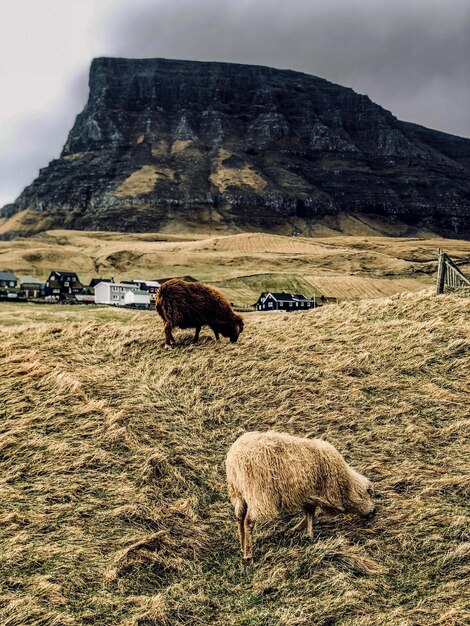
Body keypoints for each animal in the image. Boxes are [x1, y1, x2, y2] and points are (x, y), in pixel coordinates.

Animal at [226, 432, 376, 560]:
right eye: (369, 494)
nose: (374, 512)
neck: (346, 485)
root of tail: (236, 458)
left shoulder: (308, 495)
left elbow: (309, 513)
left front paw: (298, 530)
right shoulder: (315, 493)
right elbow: (311, 513)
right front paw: (309, 534)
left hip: (238, 493)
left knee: (239, 517)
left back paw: (242, 545)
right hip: (258, 494)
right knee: (248, 521)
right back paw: (248, 554)